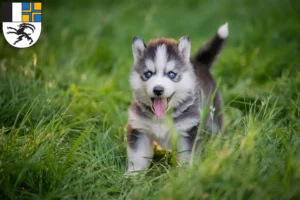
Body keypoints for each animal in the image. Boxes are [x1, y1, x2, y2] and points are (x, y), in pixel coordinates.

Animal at [126, 23, 227, 173]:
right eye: (148, 74)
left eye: (172, 74)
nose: (158, 90)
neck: (162, 116)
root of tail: (198, 63)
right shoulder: (139, 129)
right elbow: (138, 157)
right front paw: (132, 175)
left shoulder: (188, 130)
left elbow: (187, 157)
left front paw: (186, 174)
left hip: (214, 117)